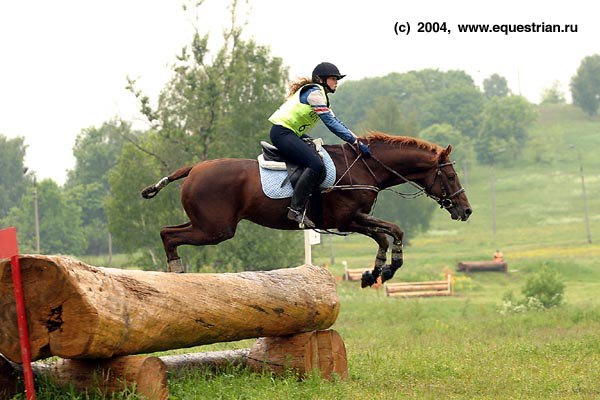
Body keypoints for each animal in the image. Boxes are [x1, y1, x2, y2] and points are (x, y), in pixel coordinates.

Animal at [142, 132, 474, 288]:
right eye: (451, 176)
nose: (467, 211)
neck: (364, 168)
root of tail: (193, 168)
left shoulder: (353, 221)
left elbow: (384, 236)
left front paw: (374, 273)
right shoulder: (348, 219)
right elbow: (394, 230)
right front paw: (390, 268)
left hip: (207, 225)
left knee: (168, 232)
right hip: (215, 229)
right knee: (168, 234)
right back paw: (176, 271)